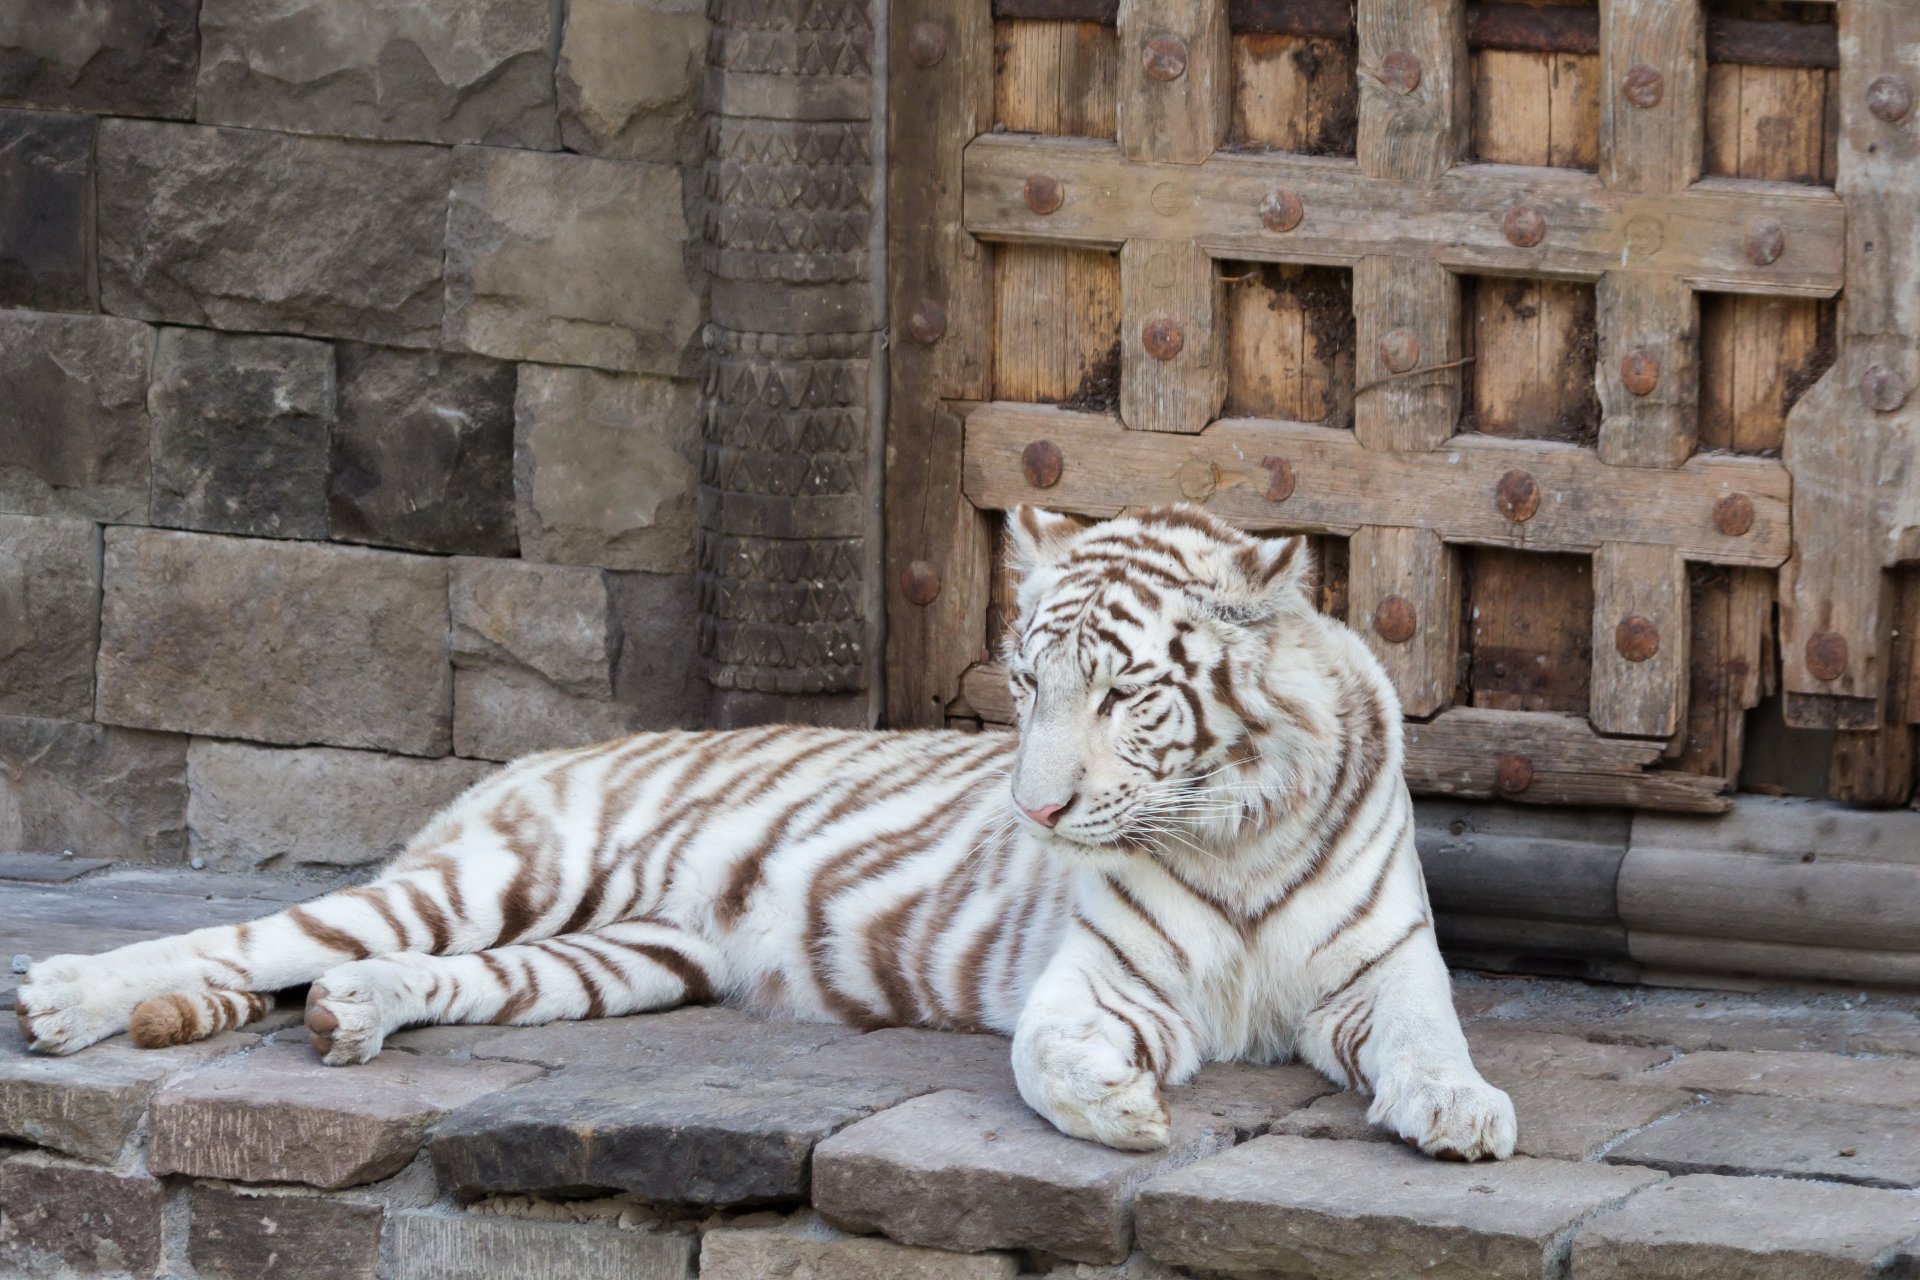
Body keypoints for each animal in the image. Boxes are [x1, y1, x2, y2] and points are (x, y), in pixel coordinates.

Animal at [16, 503, 1516, 1159]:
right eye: (1028, 684)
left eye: (1124, 693)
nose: (1034, 807)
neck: (1232, 825)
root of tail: (539, 753)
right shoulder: (1099, 981)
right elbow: (1046, 1055)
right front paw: (1124, 1110)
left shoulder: (1383, 972)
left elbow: (1431, 1038)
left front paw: (1458, 1111)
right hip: (506, 877)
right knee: (252, 934)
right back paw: (69, 995)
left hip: (614, 958)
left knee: (390, 970)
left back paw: (350, 1014)